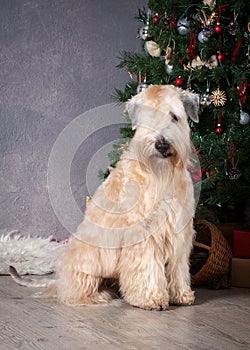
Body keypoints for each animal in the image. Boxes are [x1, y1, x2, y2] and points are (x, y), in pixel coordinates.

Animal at [10, 85, 199, 312]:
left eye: (174, 116)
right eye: (147, 117)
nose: (161, 144)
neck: (161, 176)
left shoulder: (179, 230)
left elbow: (178, 267)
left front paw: (181, 294)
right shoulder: (143, 234)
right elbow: (148, 267)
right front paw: (151, 298)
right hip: (88, 261)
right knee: (73, 290)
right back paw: (97, 296)